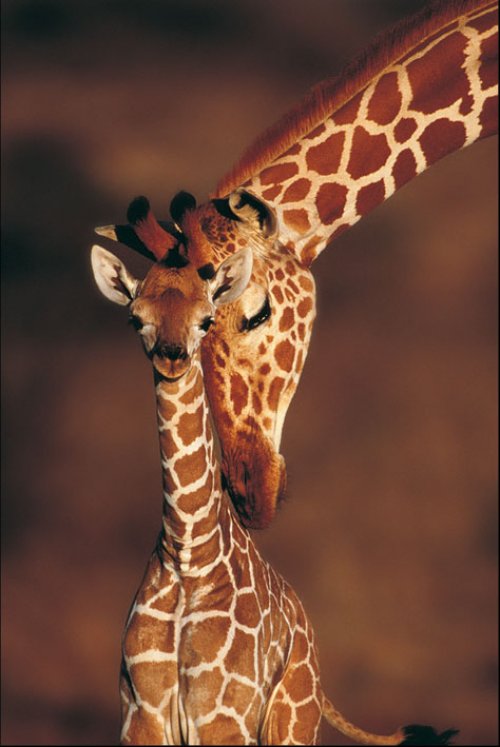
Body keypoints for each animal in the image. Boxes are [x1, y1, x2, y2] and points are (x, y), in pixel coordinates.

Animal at [90, 203, 456, 746]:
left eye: (206, 319)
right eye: (136, 318)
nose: (172, 357)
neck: (188, 553)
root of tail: (311, 644)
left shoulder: (224, 718)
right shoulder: (141, 716)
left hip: (291, 720)